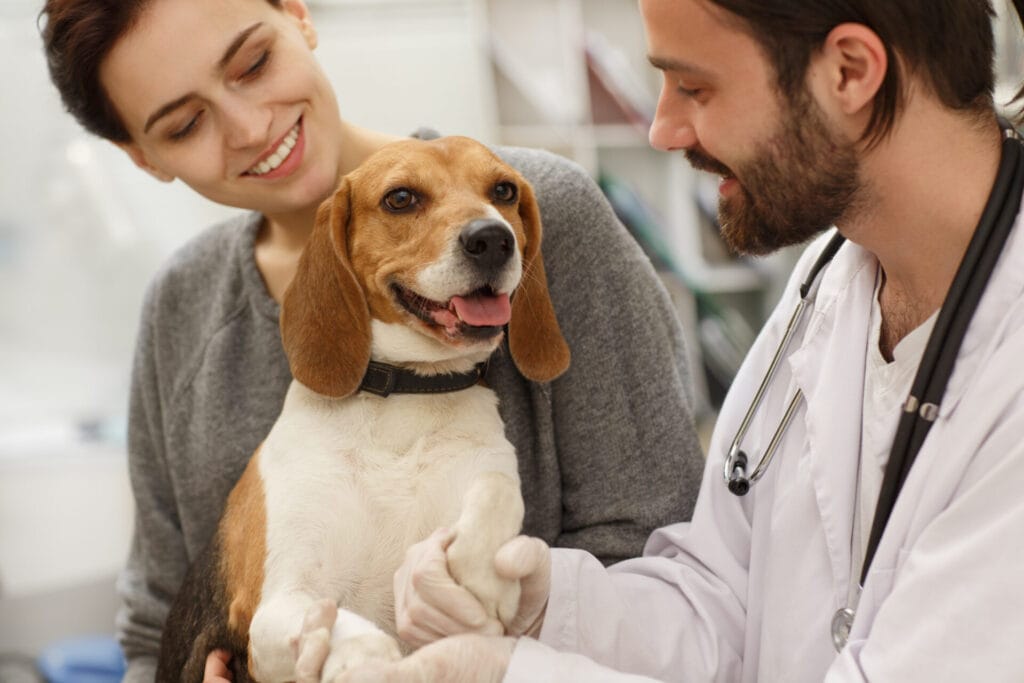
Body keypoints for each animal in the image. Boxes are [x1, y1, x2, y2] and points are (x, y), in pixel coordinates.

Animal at [154, 136, 569, 679]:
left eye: (503, 191)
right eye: (401, 198)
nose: (493, 239)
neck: (406, 396)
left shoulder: (485, 470)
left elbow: (497, 486)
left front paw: (483, 572)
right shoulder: (271, 609)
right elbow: (350, 632)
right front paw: (368, 662)